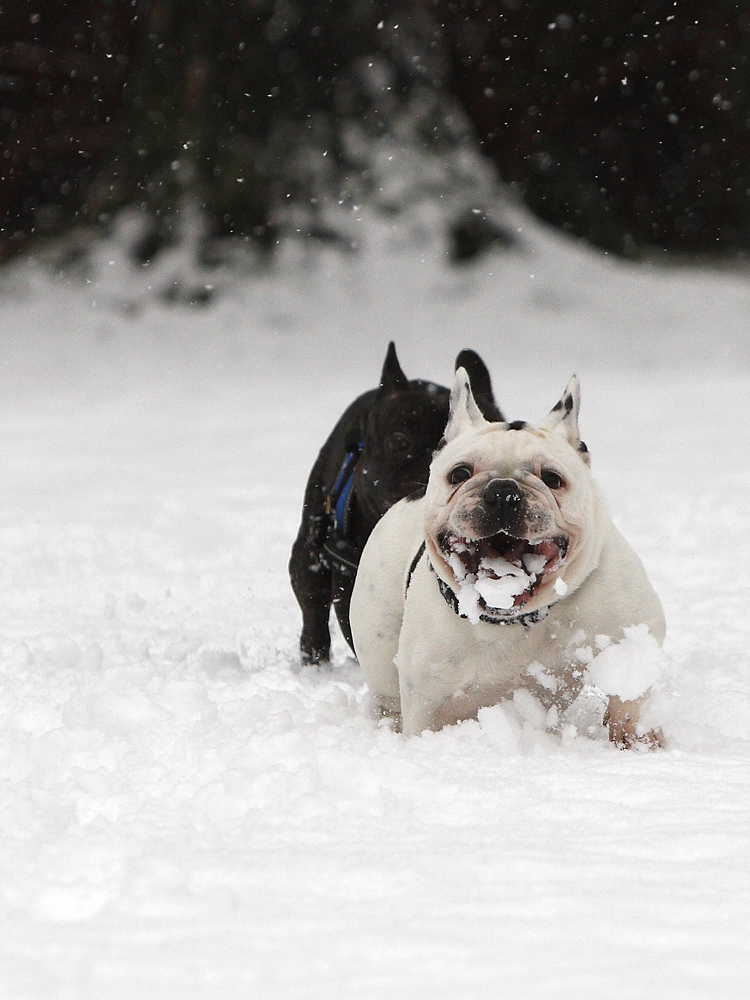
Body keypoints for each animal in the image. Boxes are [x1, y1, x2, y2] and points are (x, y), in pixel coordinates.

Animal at [350, 372, 668, 748]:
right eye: (459, 474)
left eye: (552, 478)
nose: (503, 491)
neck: (514, 618)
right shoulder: (429, 699)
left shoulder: (629, 630)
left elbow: (629, 695)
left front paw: (637, 739)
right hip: (380, 649)